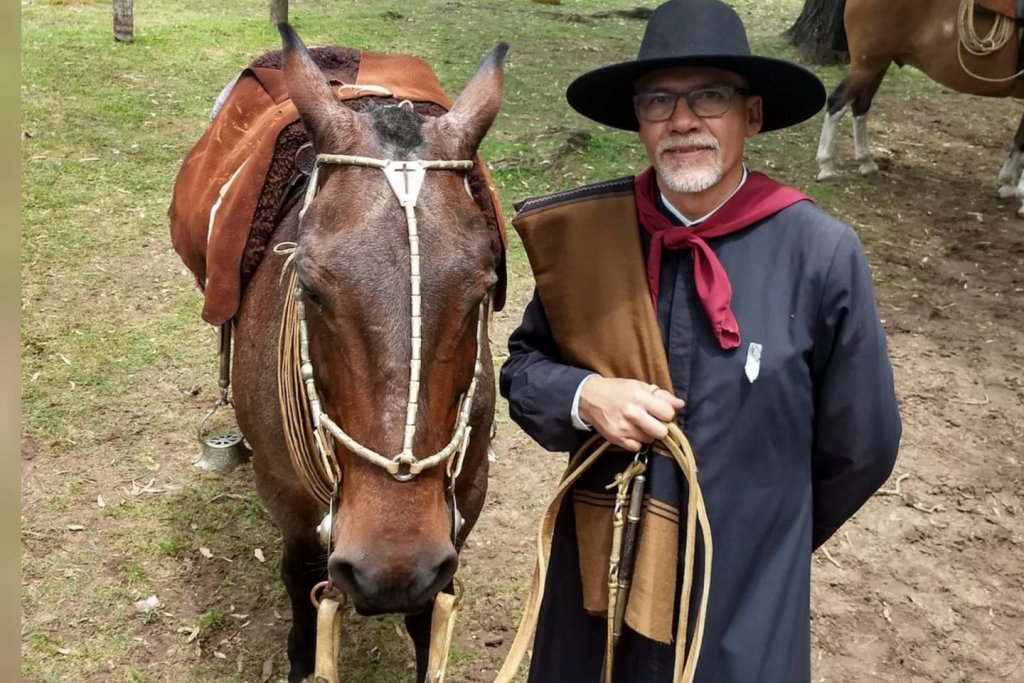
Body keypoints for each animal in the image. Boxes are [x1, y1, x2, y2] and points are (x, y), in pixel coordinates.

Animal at [228, 24, 507, 679]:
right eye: (308, 286)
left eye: (483, 288)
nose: (392, 568)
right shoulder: (286, 500)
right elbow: (302, 592)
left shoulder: (467, 496)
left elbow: (429, 617)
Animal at [819, 0, 1024, 216]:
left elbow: (1019, 140)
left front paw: (1008, 184)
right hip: (866, 65)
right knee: (837, 102)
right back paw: (826, 165)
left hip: (878, 64)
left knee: (860, 106)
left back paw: (865, 162)